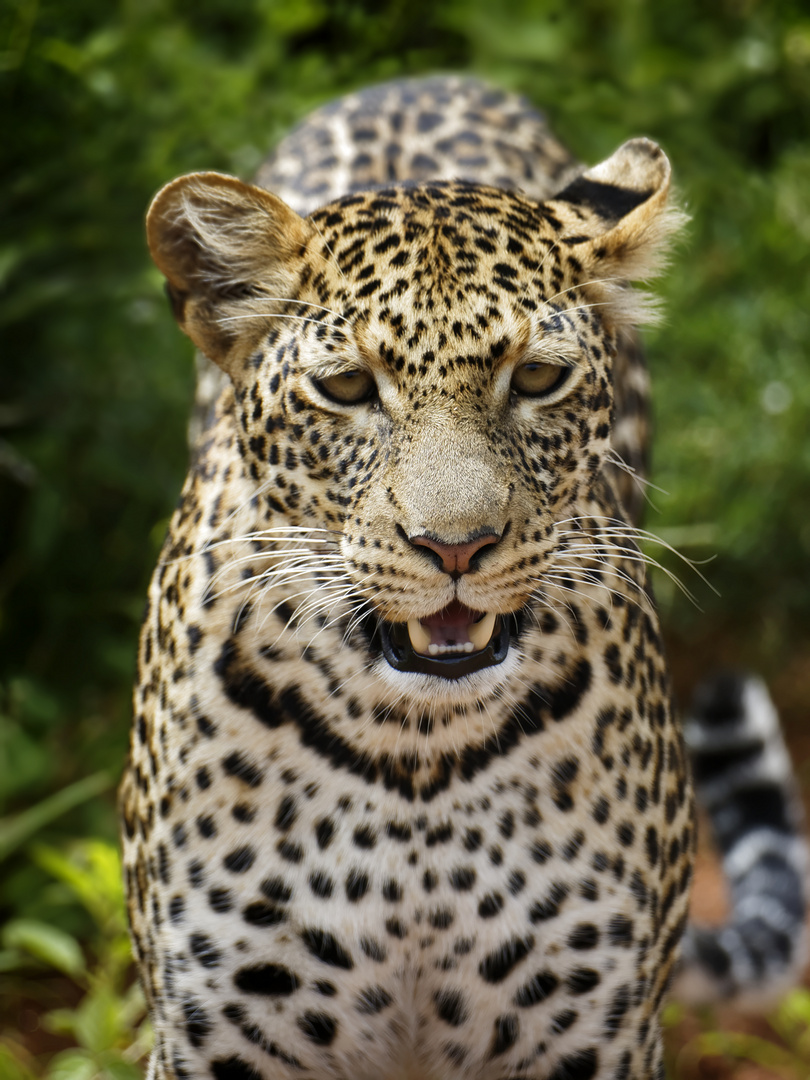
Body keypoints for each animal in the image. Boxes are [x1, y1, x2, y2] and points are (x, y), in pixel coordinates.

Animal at [120, 76, 807, 1080]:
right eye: (347, 389)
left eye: (537, 379)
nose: (455, 547)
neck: (416, 749)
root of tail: (419, 81)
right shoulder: (222, 1034)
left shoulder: (594, 1033)